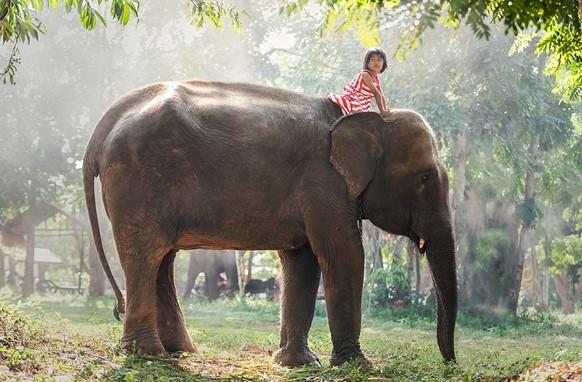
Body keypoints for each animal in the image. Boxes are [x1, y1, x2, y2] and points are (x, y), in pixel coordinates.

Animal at [83, 80, 456, 368]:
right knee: (145, 255)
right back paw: (148, 355)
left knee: (162, 259)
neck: (369, 120)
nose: (450, 363)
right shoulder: (324, 183)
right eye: (424, 178)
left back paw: (179, 351)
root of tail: (105, 124)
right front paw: (356, 365)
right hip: (139, 181)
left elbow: (303, 261)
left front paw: (297, 363)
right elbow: (343, 255)